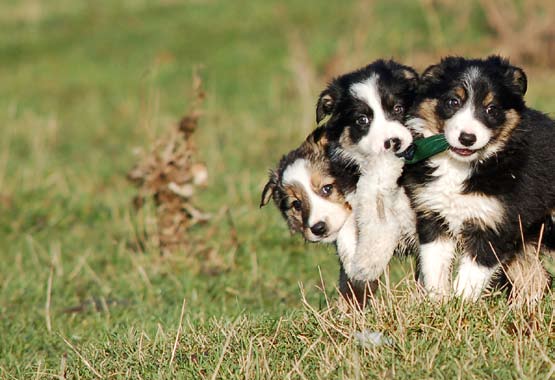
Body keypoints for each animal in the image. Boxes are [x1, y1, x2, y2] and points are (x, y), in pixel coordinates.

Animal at [404, 55, 555, 302]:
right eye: (453, 102)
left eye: (491, 109)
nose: (467, 138)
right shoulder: (433, 216)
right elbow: (434, 266)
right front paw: (438, 303)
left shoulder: (494, 225)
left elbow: (471, 275)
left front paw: (460, 304)